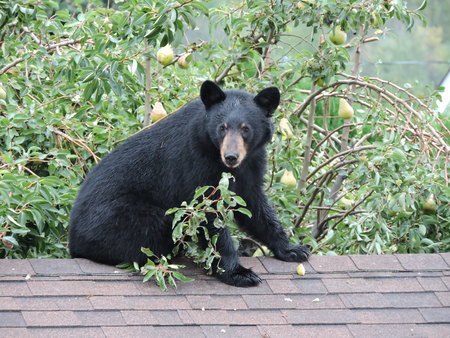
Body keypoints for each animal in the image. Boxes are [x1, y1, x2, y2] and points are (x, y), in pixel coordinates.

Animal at [69, 80, 310, 286]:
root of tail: (73, 239)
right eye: (222, 127)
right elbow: (208, 214)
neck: (215, 153)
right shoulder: (195, 164)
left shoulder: (251, 164)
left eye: (245, 128)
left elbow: (254, 205)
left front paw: (292, 249)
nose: (231, 157)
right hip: (122, 218)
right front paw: (238, 272)